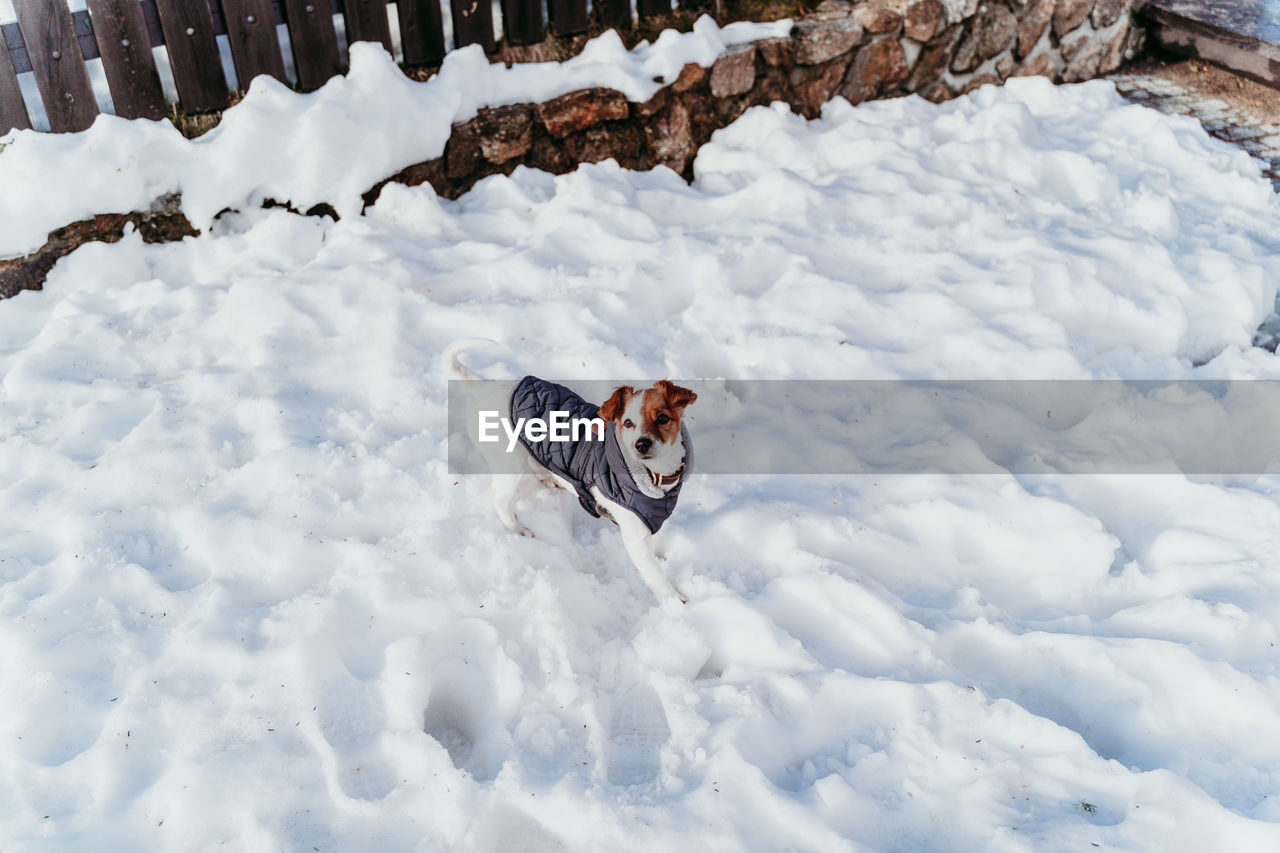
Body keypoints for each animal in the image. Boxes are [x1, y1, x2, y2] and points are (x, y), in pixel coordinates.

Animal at [445, 343, 696, 601]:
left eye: (663, 417)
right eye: (627, 423)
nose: (641, 444)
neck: (656, 478)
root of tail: (484, 385)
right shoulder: (635, 537)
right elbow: (655, 576)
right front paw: (676, 601)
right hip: (511, 464)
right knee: (497, 497)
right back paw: (515, 527)